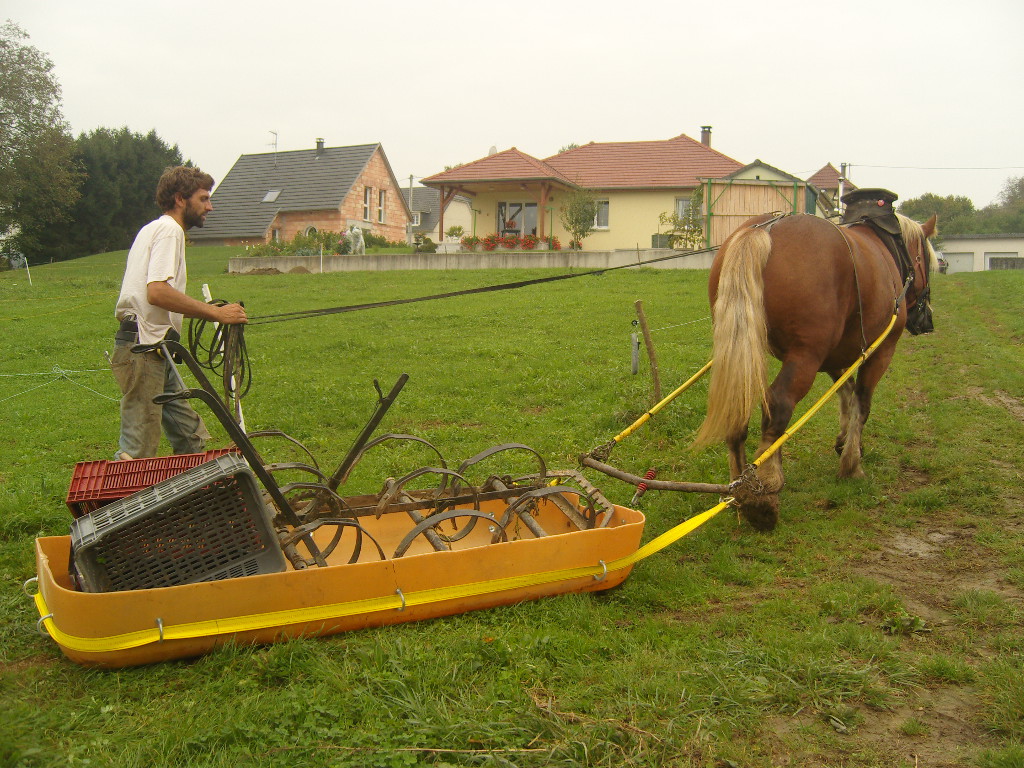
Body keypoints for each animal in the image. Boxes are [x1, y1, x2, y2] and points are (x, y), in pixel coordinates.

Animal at [696, 214, 937, 532]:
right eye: (929, 263)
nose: (927, 321)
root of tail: (763, 228)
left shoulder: (836, 358)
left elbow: (846, 394)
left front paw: (844, 441)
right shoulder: (880, 351)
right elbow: (862, 402)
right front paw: (851, 463)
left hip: (745, 347)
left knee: (741, 406)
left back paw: (741, 491)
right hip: (805, 355)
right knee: (778, 404)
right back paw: (765, 493)